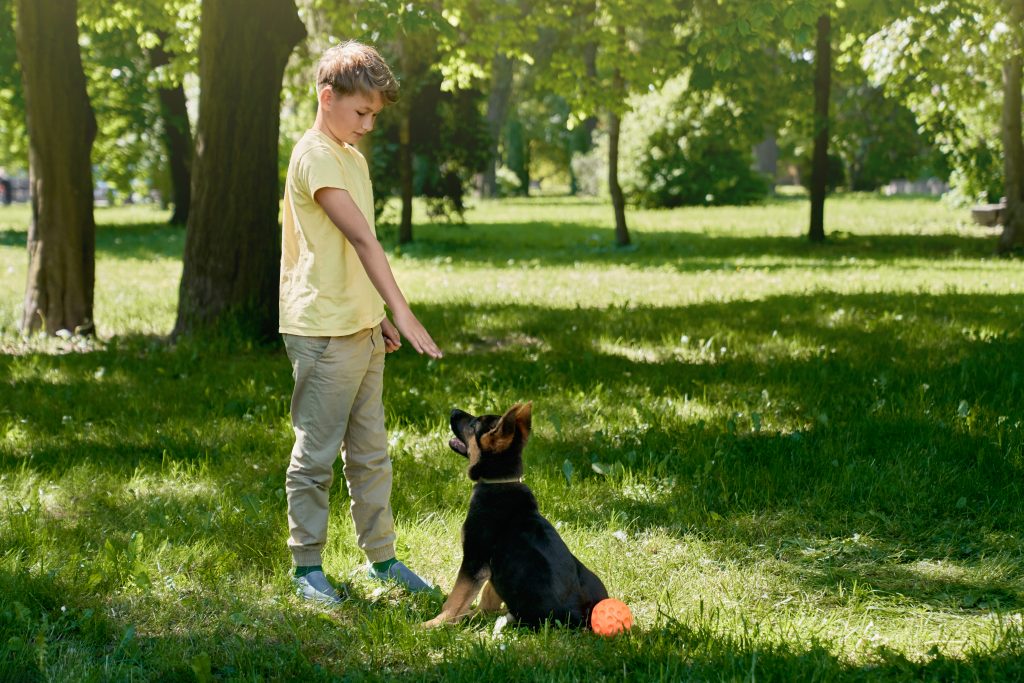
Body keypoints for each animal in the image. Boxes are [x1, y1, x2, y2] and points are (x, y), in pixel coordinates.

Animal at [421, 403, 606, 634]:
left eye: (473, 425)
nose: (453, 410)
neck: (500, 481)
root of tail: (578, 619)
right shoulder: (493, 569)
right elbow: (487, 598)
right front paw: (471, 616)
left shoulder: (474, 560)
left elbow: (455, 599)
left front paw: (434, 624)